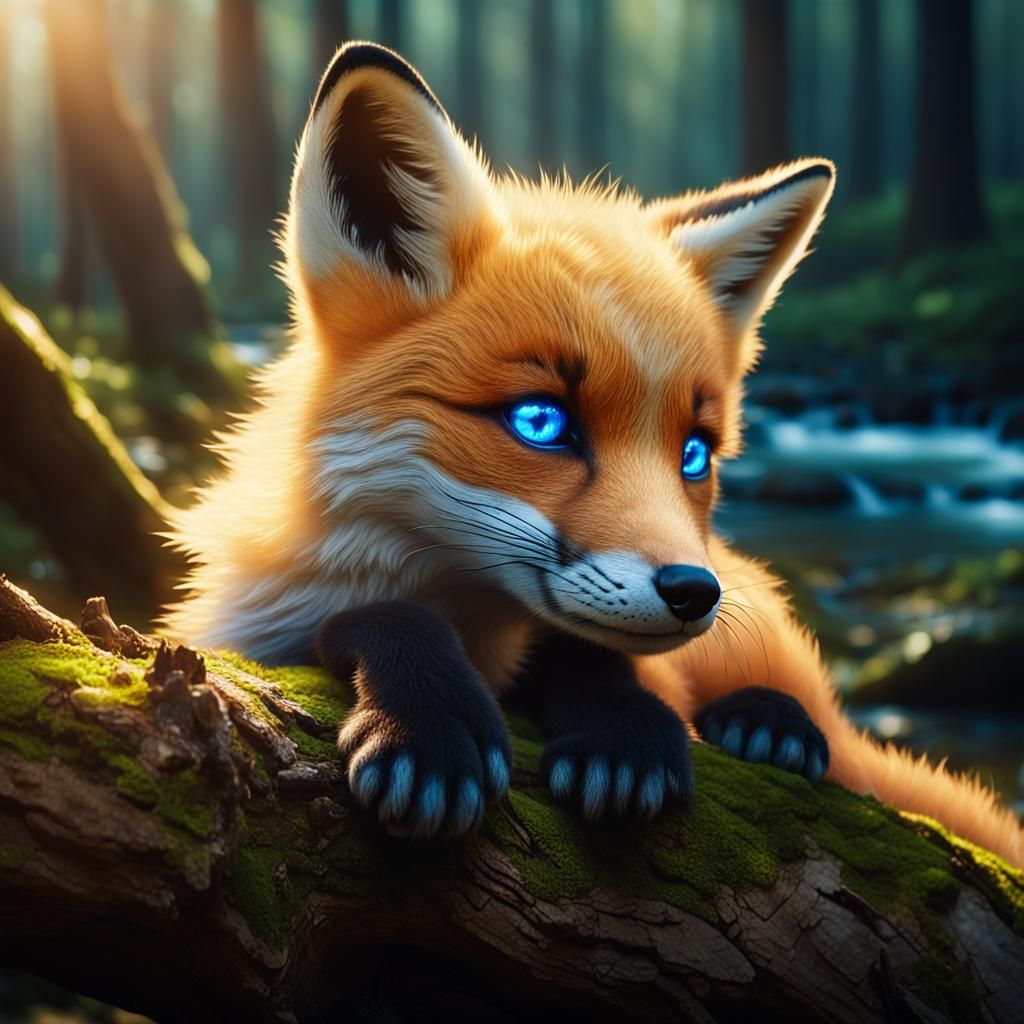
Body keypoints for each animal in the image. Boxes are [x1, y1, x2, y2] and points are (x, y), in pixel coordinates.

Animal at [165, 42, 1023, 865]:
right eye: (541, 421)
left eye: (693, 454)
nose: (694, 592)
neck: (484, 631)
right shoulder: (244, 633)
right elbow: (380, 615)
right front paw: (432, 723)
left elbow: (592, 655)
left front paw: (624, 730)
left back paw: (769, 722)